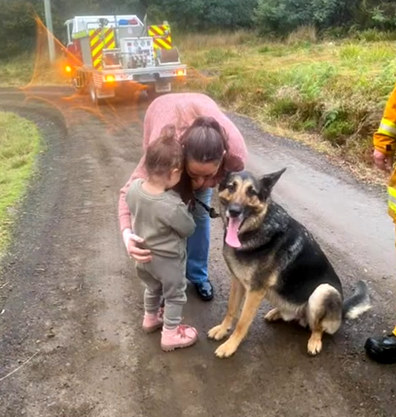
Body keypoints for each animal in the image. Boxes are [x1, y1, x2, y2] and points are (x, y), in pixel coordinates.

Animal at [207, 167, 372, 356]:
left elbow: (242, 322)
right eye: (231, 187)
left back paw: (314, 341)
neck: (260, 225)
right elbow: (231, 309)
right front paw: (222, 330)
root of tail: (341, 310)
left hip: (323, 291)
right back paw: (277, 313)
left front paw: (230, 346)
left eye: (252, 192)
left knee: (318, 328)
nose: (234, 211)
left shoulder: (255, 291)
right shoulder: (238, 282)